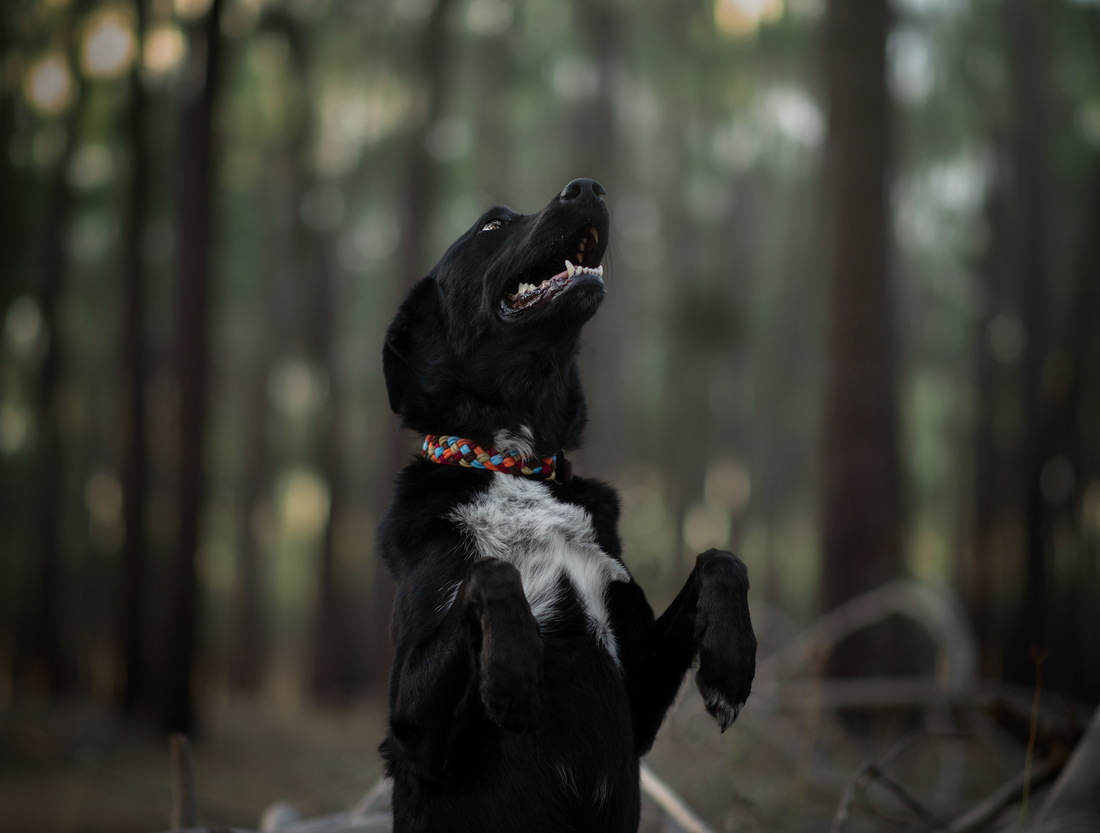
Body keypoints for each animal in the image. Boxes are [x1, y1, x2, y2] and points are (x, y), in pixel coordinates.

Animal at [380, 180, 756, 831]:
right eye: (490, 226)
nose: (588, 188)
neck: (512, 463)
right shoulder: (415, 736)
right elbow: (494, 571)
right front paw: (513, 671)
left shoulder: (638, 691)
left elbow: (720, 557)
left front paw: (731, 666)